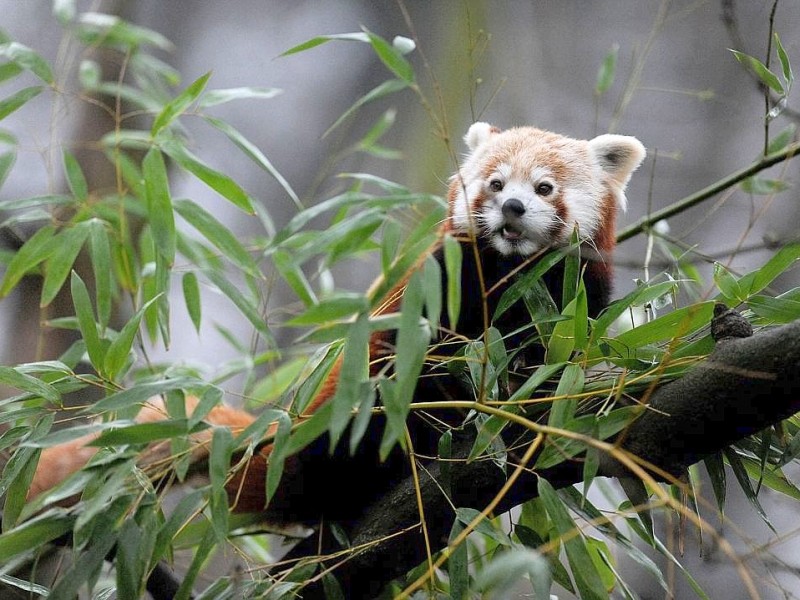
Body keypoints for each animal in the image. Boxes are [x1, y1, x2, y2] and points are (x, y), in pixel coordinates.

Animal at [28, 120, 648, 524]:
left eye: (544, 187)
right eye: (495, 183)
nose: (512, 208)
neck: (515, 274)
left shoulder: (578, 294)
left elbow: (564, 352)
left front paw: (538, 384)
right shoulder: (444, 282)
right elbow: (434, 358)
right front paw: (472, 400)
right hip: (344, 413)